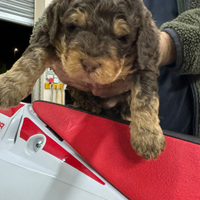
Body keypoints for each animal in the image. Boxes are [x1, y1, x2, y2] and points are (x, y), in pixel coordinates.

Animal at [0, 0, 166, 159]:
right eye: (73, 26)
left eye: (122, 38)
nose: (90, 64)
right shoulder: (47, 35)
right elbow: (31, 59)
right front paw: (8, 87)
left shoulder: (146, 63)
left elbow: (145, 98)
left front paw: (148, 136)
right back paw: (88, 104)